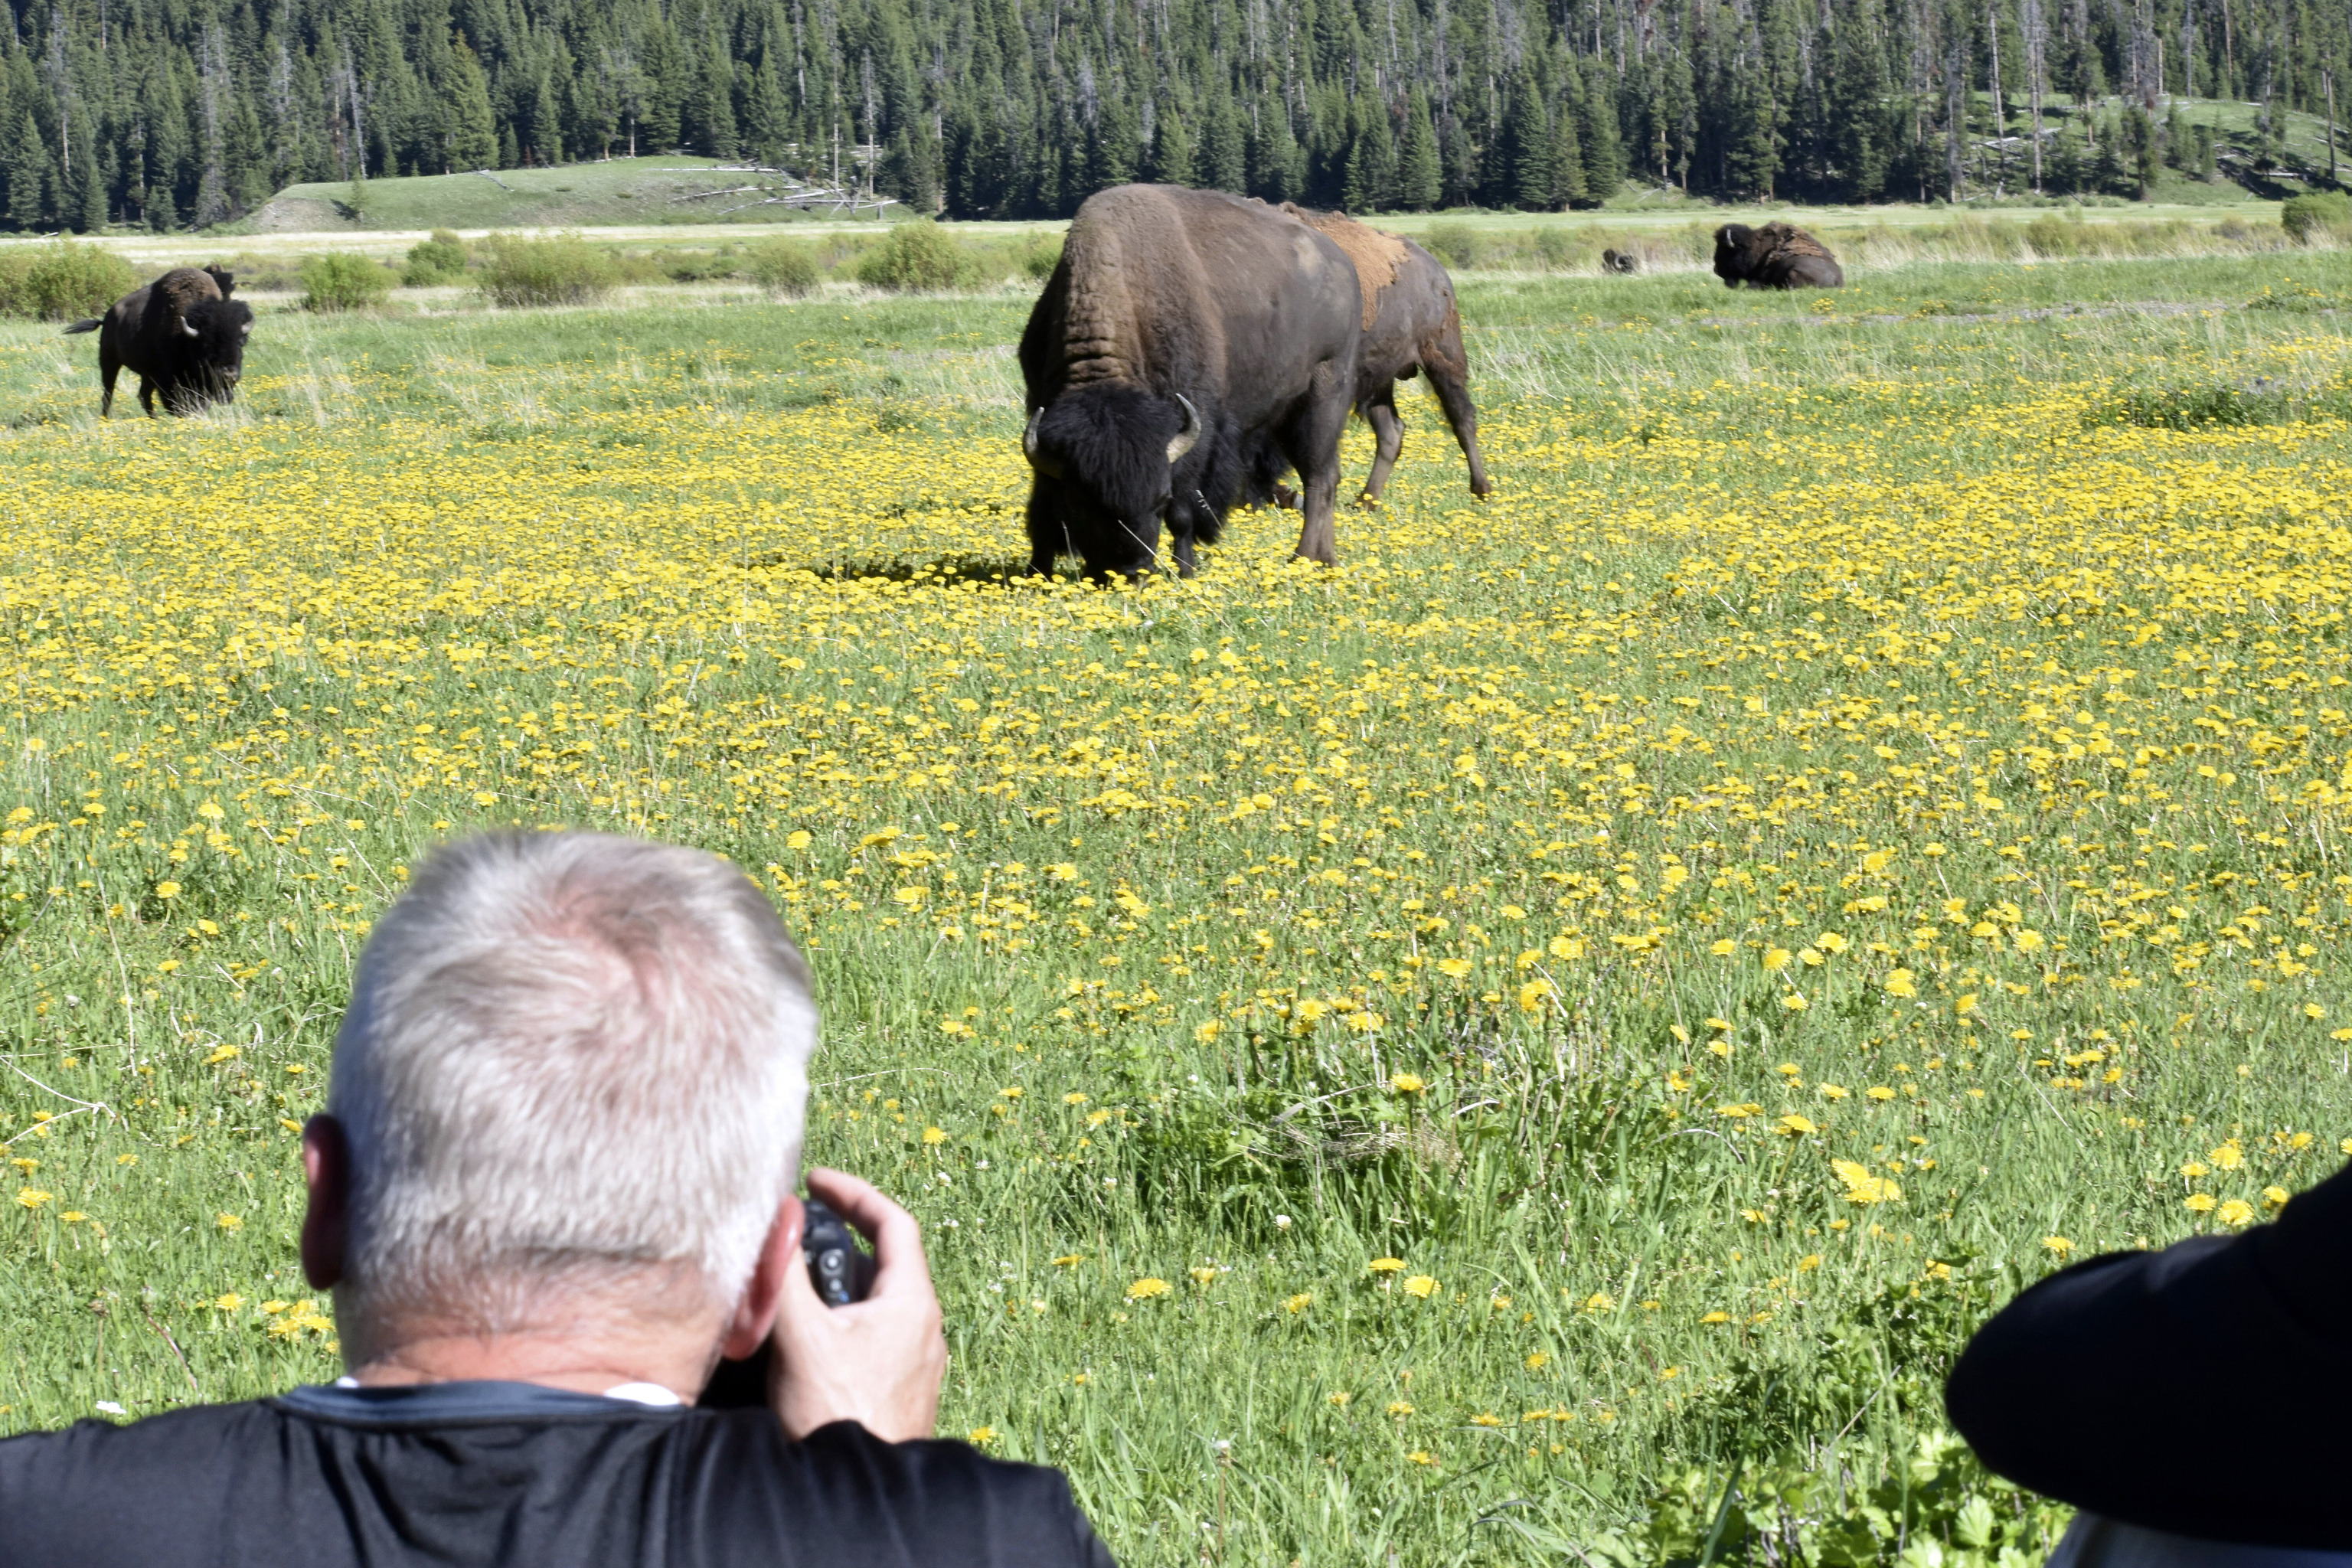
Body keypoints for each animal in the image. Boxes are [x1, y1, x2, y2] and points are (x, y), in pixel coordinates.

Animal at [64, 266, 253, 420]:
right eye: (207, 345)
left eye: (240, 343)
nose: (229, 375)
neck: (186, 338)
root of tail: (107, 317)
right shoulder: (168, 379)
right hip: (109, 362)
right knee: (108, 392)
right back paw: (105, 418)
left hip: (146, 374)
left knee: (143, 395)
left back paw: (153, 419)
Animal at [1011, 185, 1364, 576]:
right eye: (1081, 505)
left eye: (1160, 498)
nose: (1130, 571)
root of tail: (1344, 264)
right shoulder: (1042, 421)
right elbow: (1041, 507)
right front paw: (1036, 571)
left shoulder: (1195, 427)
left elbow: (1183, 511)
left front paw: (1186, 569)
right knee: (1323, 475)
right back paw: (1322, 558)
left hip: (1323, 398)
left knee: (1319, 478)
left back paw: (1307, 558)